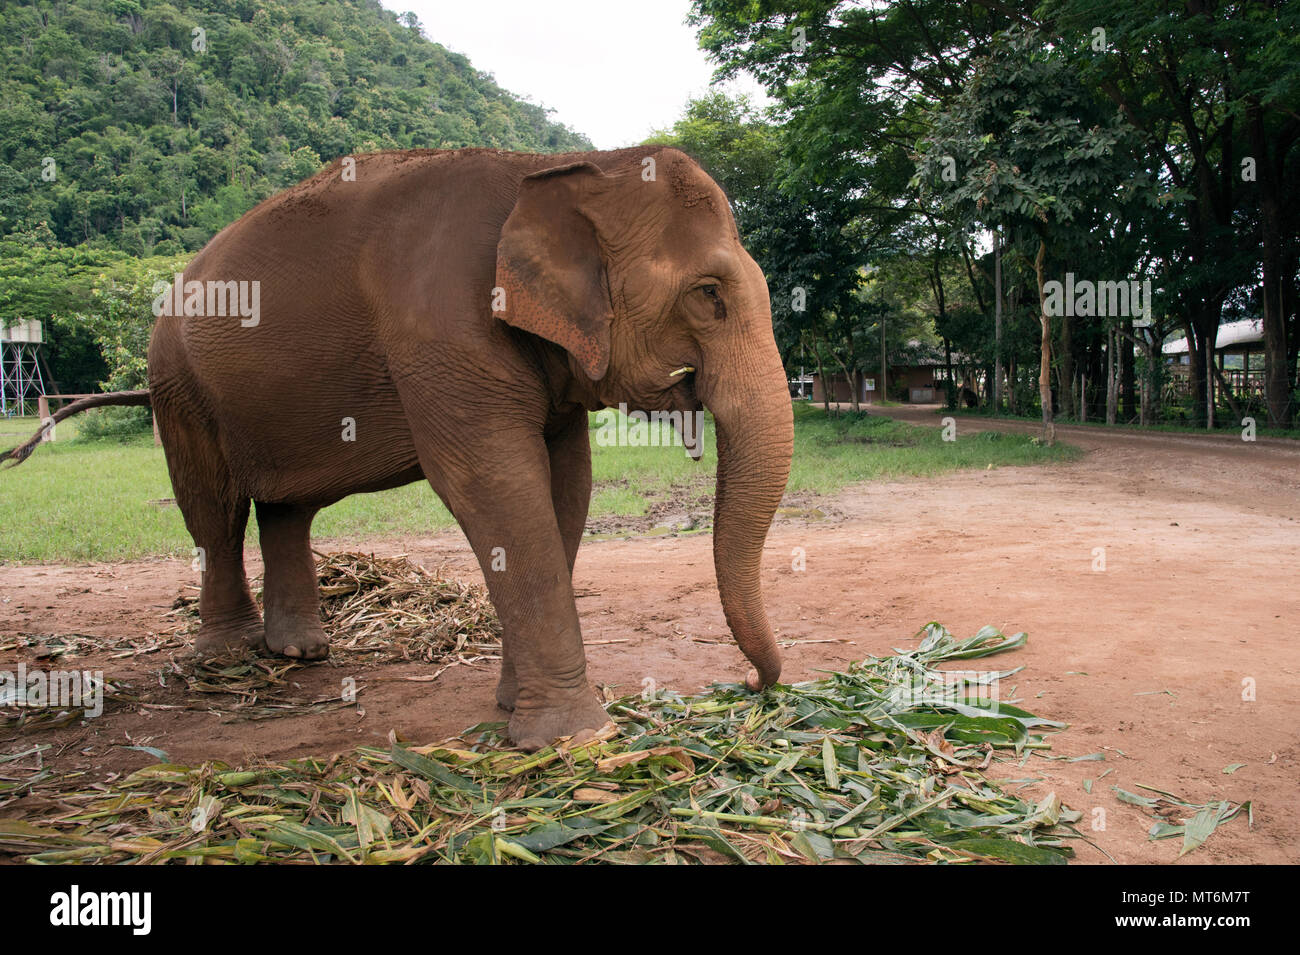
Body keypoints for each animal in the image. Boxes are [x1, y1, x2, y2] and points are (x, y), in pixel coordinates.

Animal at [10, 145, 795, 748]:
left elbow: (566, 487)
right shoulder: (441, 331)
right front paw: (573, 737)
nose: (750, 685)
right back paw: (230, 660)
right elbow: (495, 484)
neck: (551, 168)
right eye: (708, 294)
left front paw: (513, 708)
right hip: (177, 384)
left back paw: (299, 651)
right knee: (213, 508)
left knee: (285, 506)